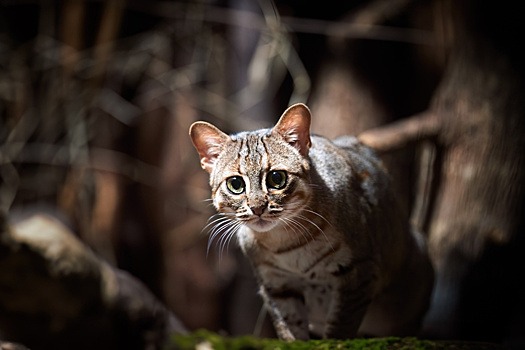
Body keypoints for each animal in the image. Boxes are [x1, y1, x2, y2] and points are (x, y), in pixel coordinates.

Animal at [188, 103, 434, 340]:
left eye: (276, 178)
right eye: (236, 184)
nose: (257, 208)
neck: (284, 243)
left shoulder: (358, 273)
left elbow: (340, 329)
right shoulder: (275, 285)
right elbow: (289, 329)